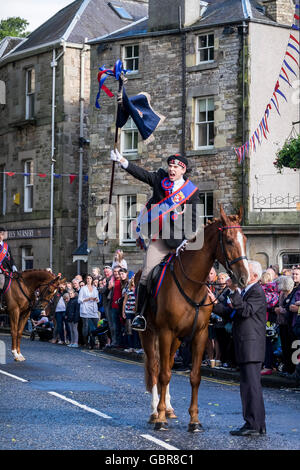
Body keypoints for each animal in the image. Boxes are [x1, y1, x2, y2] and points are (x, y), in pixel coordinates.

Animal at [139, 204, 250, 432]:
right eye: (228, 240)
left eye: (245, 239)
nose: (244, 278)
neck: (191, 283)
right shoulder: (165, 332)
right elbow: (163, 374)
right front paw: (160, 419)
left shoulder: (200, 334)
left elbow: (194, 377)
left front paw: (194, 420)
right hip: (149, 334)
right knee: (155, 368)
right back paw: (155, 411)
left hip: (177, 338)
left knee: (168, 364)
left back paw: (168, 408)